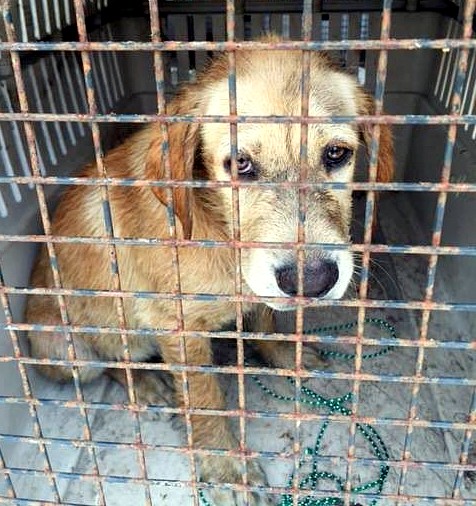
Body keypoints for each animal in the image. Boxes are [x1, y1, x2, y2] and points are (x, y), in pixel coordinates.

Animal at [27, 42, 394, 506]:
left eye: (336, 154)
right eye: (240, 164)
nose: (311, 281)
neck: (218, 229)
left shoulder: (258, 287)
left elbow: (265, 319)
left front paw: (282, 355)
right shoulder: (178, 327)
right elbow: (204, 399)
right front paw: (225, 465)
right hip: (64, 349)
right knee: (110, 361)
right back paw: (144, 383)